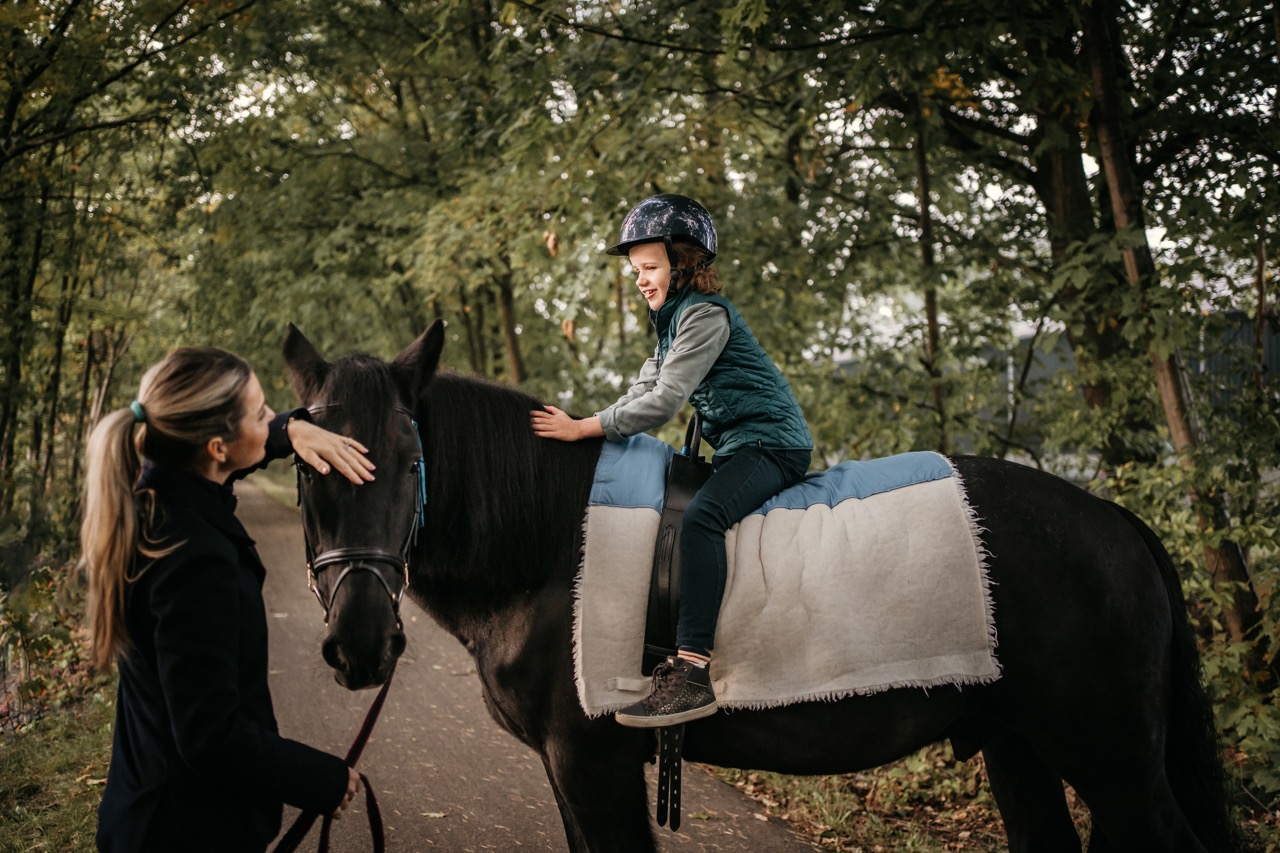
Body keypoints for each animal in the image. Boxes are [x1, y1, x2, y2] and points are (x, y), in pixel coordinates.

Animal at [282, 320, 1239, 850]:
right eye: (307, 469)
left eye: (410, 462)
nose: (360, 645)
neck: (555, 548)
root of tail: (1117, 521)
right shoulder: (568, 771)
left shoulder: (592, 763)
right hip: (1020, 745)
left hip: (1111, 757)